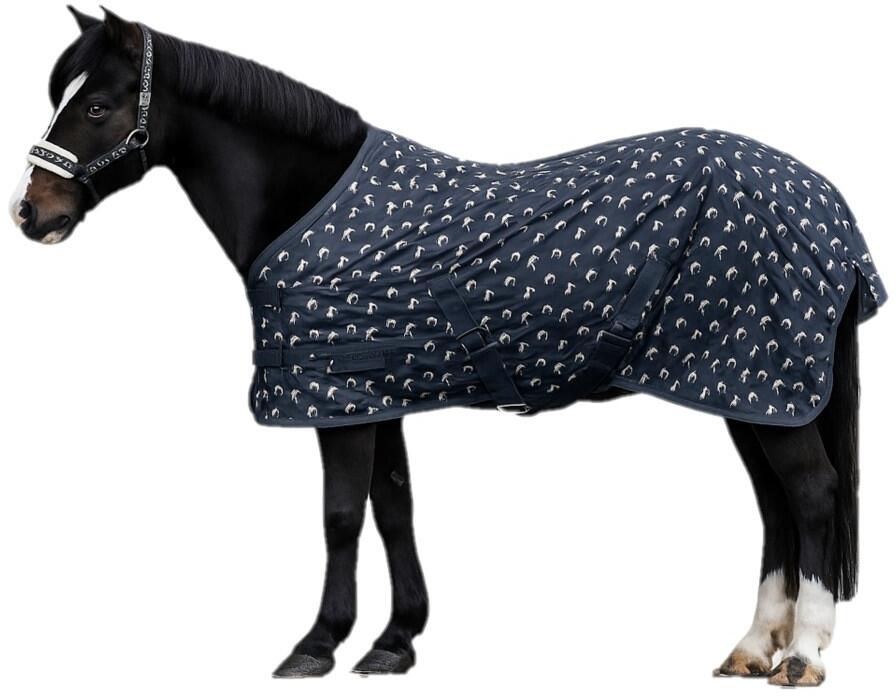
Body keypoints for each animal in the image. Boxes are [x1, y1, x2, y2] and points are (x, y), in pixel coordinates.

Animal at [10, 8, 886, 686]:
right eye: (60, 96)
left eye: (99, 107)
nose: (30, 213)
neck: (307, 203)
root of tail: (826, 201)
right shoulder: (376, 395)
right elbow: (394, 508)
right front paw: (396, 640)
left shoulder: (337, 398)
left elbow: (339, 516)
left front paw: (317, 644)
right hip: (745, 389)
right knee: (775, 505)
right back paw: (751, 648)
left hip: (762, 383)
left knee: (811, 496)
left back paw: (804, 654)